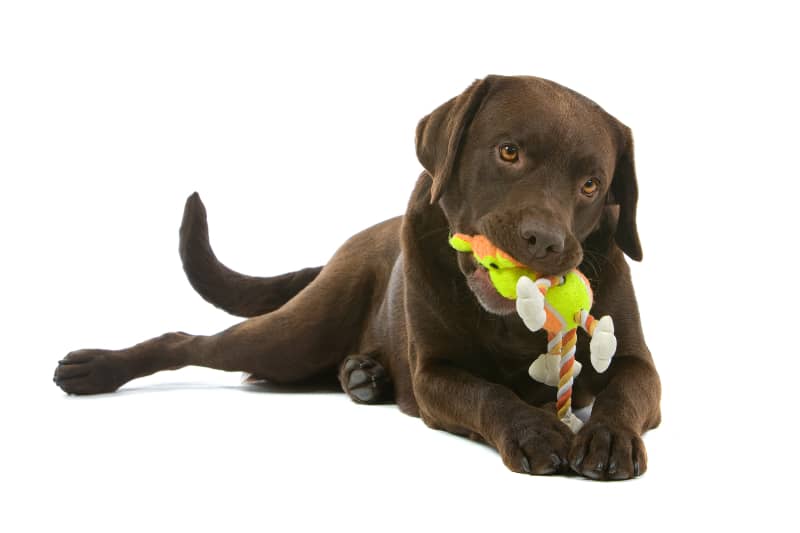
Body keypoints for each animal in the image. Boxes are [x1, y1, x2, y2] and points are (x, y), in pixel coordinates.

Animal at [53, 75, 660, 478]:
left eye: (591, 184)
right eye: (508, 151)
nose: (546, 241)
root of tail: (348, 246)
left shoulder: (639, 364)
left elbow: (625, 392)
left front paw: (608, 436)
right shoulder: (434, 373)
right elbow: (489, 394)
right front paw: (533, 429)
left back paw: (362, 375)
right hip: (294, 336)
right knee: (192, 342)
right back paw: (96, 368)